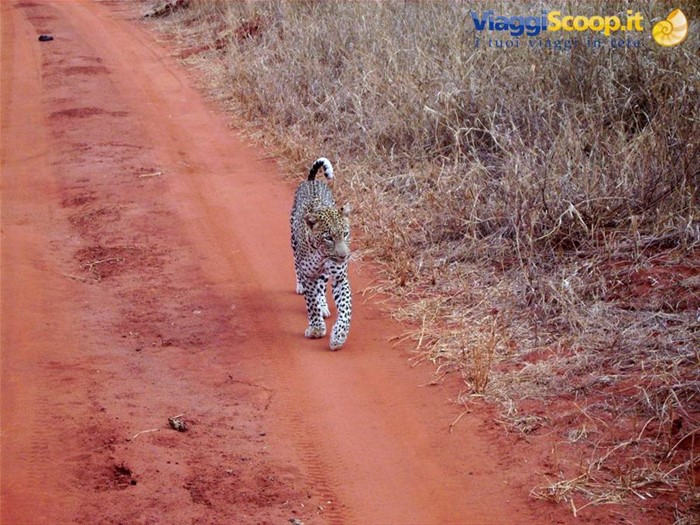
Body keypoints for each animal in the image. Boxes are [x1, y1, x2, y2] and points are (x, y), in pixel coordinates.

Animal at [290, 157, 351, 350]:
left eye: (345, 233)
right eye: (328, 238)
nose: (344, 256)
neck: (321, 255)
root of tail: (312, 181)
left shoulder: (340, 277)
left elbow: (346, 308)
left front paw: (339, 336)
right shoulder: (309, 274)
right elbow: (311, 303)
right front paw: (316, 329)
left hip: (325, 275)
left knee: (322, 286)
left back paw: (324, 305)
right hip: (292, 241)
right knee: (297, 265)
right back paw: (300, 286)